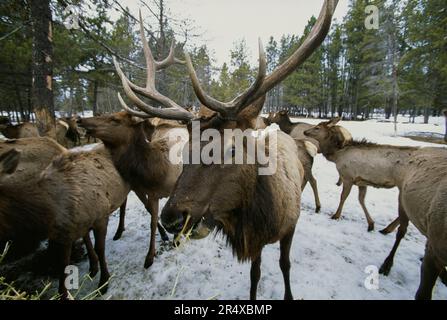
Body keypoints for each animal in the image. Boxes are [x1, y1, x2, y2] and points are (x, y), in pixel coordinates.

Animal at [114, 0, 340, 300]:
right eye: (185, 149)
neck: (263, 219)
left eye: (232, 150)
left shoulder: (290, 225)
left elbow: (285, 264)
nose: (172, 218)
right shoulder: (255, 242)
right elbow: (255, 275)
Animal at [304, 117, 447, 300]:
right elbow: (361, 200)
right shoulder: (361, 181)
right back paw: (387, 229)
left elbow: (344, 197)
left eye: (316, 127)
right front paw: (370, 224)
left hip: (402, 190)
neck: (337, 154)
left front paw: (336, 215)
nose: (305, 131)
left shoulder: (348, 176)